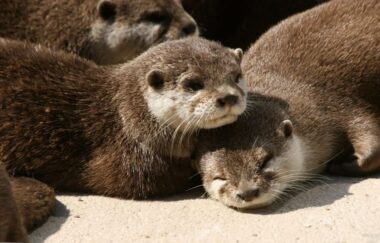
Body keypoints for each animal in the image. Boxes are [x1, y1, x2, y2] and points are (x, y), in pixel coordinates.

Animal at [196, 0, 380, 209]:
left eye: (265, 161)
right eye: (220, 177)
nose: (247, 192)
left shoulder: (339, 105)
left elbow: (370, 140)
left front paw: (342, 165)